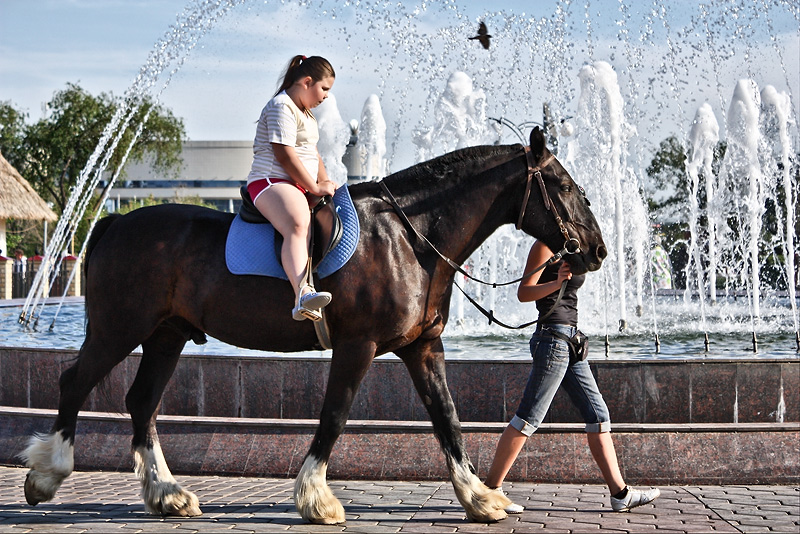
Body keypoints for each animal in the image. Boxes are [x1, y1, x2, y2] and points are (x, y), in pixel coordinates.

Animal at [20, 127, 608, 524]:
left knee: (142, 402)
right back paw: (47, 474)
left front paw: (478, 496)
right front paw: (316, 497)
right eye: (561, 184)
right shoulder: (358, 345)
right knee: (75, 382)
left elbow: (447, 417)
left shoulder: (422, 347)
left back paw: (167, 494)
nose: (598, 250)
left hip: (166, 336)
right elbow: (335, 415)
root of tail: (117, 220)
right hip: (118, 329)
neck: (410, 238)